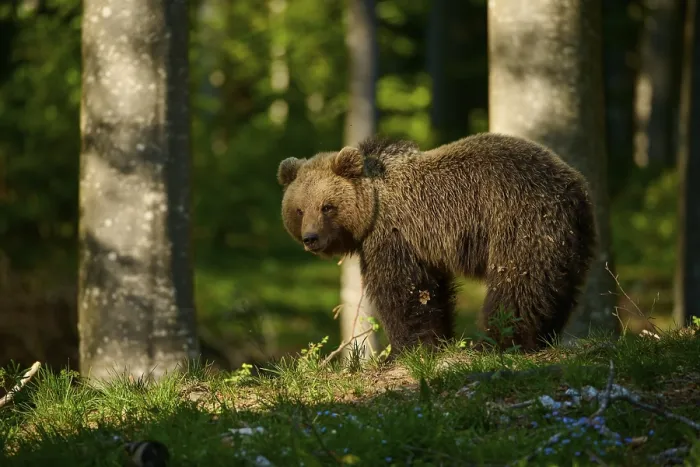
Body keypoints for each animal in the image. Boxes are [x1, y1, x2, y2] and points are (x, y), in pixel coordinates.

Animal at [276, 132, 596, 357]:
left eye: (327, 207)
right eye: (299, 209)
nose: (311, 238)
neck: (372, 209)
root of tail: (575, 185)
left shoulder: (395, 236)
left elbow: (401, 291)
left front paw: (406, 349)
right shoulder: (423, 246)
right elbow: (432, 292)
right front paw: (437, 341)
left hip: (520, 222)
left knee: (518, 284)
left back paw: (496, 341)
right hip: (569, 238)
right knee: (555, 285)